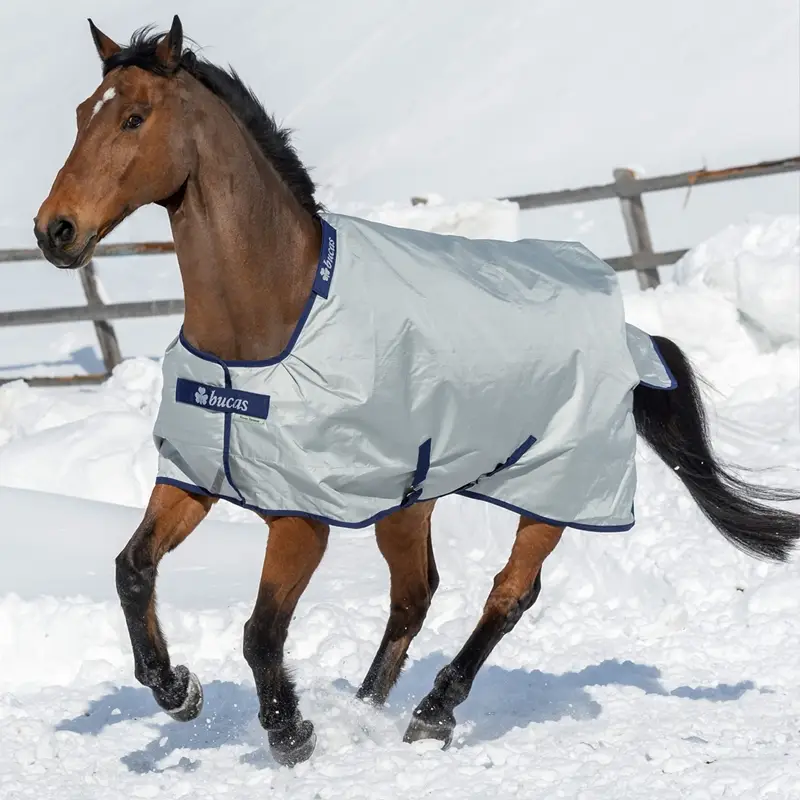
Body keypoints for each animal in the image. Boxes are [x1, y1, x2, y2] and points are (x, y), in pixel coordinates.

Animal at [34, 16, 799, 767]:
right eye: (78, 115)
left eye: (134, 117)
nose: (54, 230)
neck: (269, 322)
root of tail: (629, 331)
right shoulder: (195, 476)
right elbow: (132, 570)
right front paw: (178, 691)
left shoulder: (302, 517)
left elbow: (261, 630)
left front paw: (290, 733)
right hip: (410, 498)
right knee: (415, 595)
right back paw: (366, 710)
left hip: (554, 492)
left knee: (509, 593)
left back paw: (431, 714)